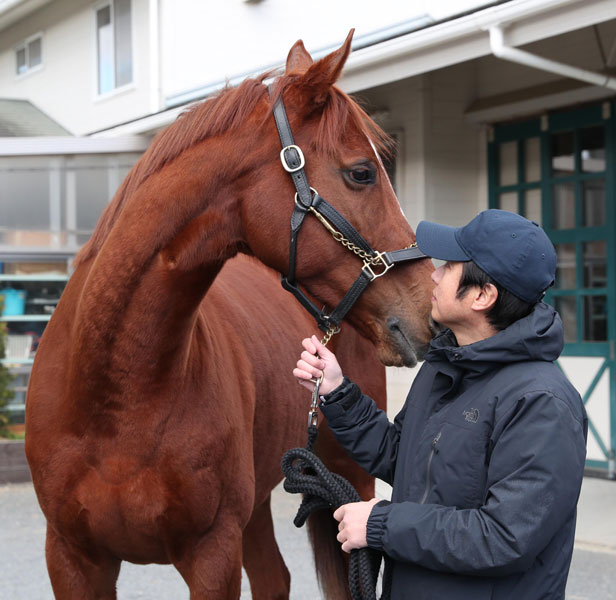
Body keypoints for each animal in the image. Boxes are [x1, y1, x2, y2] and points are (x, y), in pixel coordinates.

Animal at [26, 32, 434, 600]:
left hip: (345, 477)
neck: (117, 399)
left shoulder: (212, 554)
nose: (428, 306)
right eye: (362, 172)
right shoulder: (72, 559)